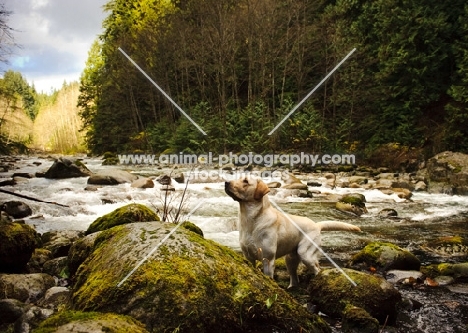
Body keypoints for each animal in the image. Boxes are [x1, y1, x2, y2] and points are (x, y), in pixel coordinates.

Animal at [226, 175, 362, 286]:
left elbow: (268, 276)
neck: (251, 220)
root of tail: (316, 225)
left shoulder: (268, 259)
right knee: (295, 279)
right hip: (290, 259)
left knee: (317, 269)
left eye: (245, 181)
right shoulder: (248, 257)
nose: (226, 182)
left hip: (306, 254)